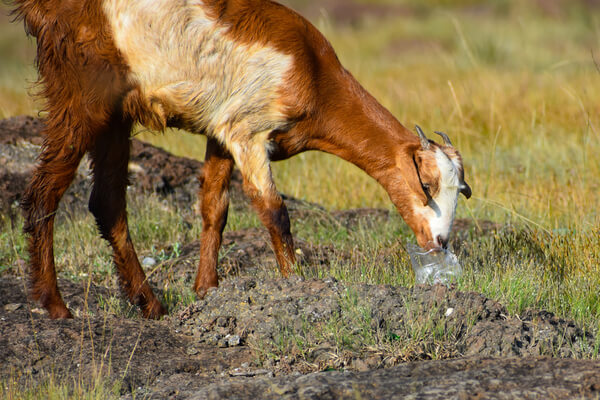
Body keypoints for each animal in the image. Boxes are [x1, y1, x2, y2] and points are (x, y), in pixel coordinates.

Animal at [9, 0, 468, 318]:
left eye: (459, 190)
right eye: (426, 185)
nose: (441, 241)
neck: (312, 72)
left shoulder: (219, 133)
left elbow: (215, 208)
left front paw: (206, 289)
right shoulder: (247, 131)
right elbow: (274, 212)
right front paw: (296, 284)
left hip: (115, 114)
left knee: (106, 202)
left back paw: (149, 303)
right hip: (81, 94)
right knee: (44, 193)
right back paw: (55, 305)